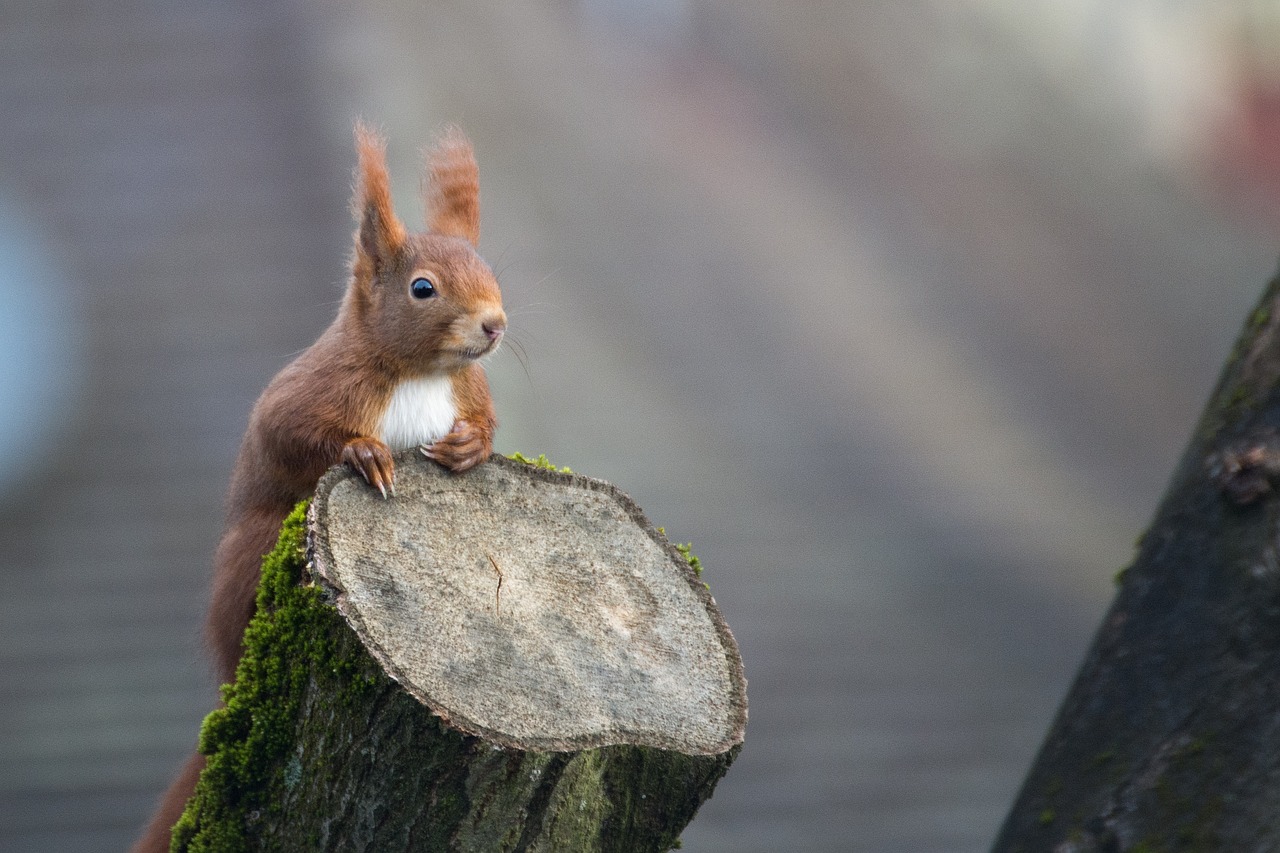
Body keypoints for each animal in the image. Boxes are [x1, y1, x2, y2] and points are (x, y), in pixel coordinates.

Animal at [132, 122, 504, 850]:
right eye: (422, 288)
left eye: (491, 272)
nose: (495, 324)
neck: (418, 373)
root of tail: (230, 684)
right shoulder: (309, 395)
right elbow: (290, 433)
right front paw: (364, 453)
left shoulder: (469, 390)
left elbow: (487, 422)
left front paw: (470, 446)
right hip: (254, 554)